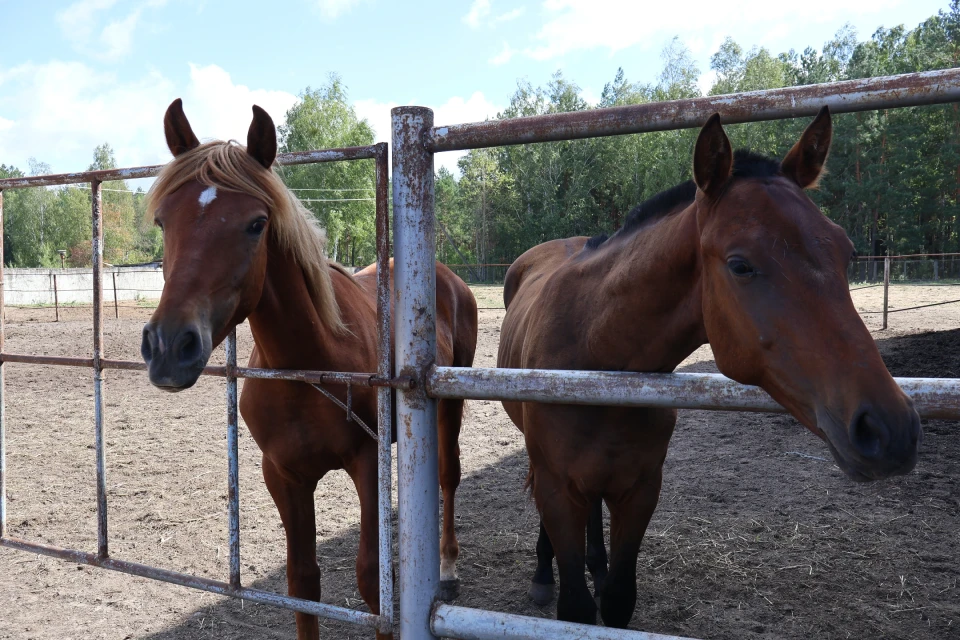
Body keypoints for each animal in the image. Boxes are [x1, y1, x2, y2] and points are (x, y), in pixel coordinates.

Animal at [138, 100, 476, 640]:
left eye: (256, 223)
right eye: (164, 221)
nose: (170, 346)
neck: (308, 366)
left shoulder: (367, 462)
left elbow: (372, 580)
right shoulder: (283, 475)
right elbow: (303, 582)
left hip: (450, 404)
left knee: (448, 476)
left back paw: (445, 569)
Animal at [498, 107, 920, 628]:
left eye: (847, 253)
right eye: (740, 265)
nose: (890, 429)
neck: (596, 362)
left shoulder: (640, 490)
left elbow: (618, 598)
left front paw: (603, 579)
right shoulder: (558, 489)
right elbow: (574, 603)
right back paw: (542, 573)